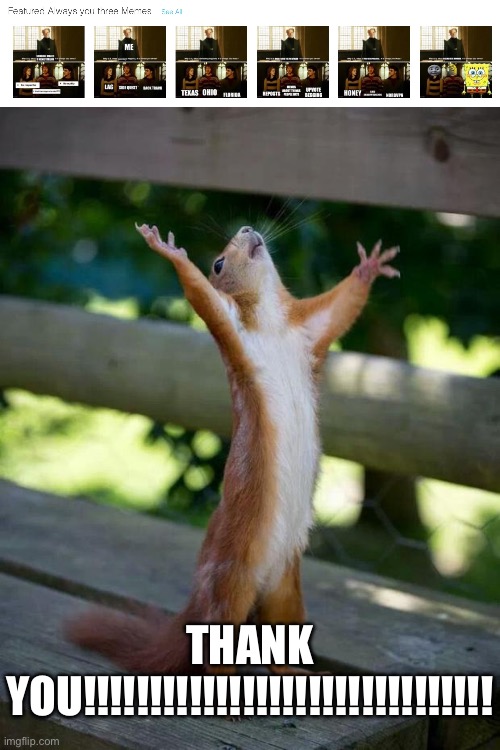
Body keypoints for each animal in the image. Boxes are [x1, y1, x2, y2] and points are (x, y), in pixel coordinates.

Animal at [67, 224, 399, 675]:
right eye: (218, 263)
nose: (246, 229)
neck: (272, 324)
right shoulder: (232, 329)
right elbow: (201, 297)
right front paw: (170, 252)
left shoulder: (310, 329)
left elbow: (341, 307)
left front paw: (368, 267)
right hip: (230, 584)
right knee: (215, 645)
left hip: (286, 594)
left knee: (283, 634)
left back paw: (294, 674)